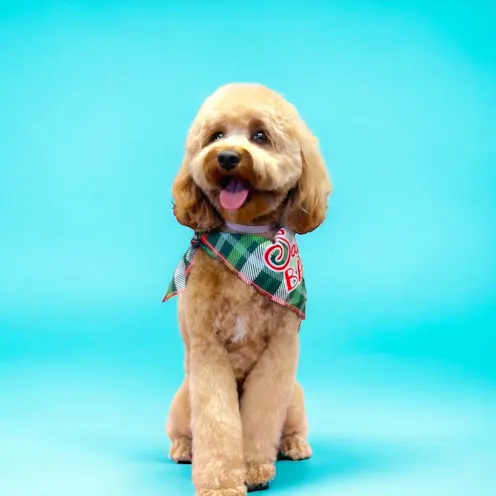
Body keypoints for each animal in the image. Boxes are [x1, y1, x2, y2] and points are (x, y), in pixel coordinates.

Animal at [165, 83, 332, 494]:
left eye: (260, 135)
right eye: (215, 136)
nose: (227, 157)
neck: (246, 242)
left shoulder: (280, 352)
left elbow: (260, 416)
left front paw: (254, 467)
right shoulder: (208, 352)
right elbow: (217, 421)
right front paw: (221, 481)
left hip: (295, 396)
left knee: (289, 425)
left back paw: (293, 444)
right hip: (182, 397)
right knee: (183, 429)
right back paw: (184, 448)